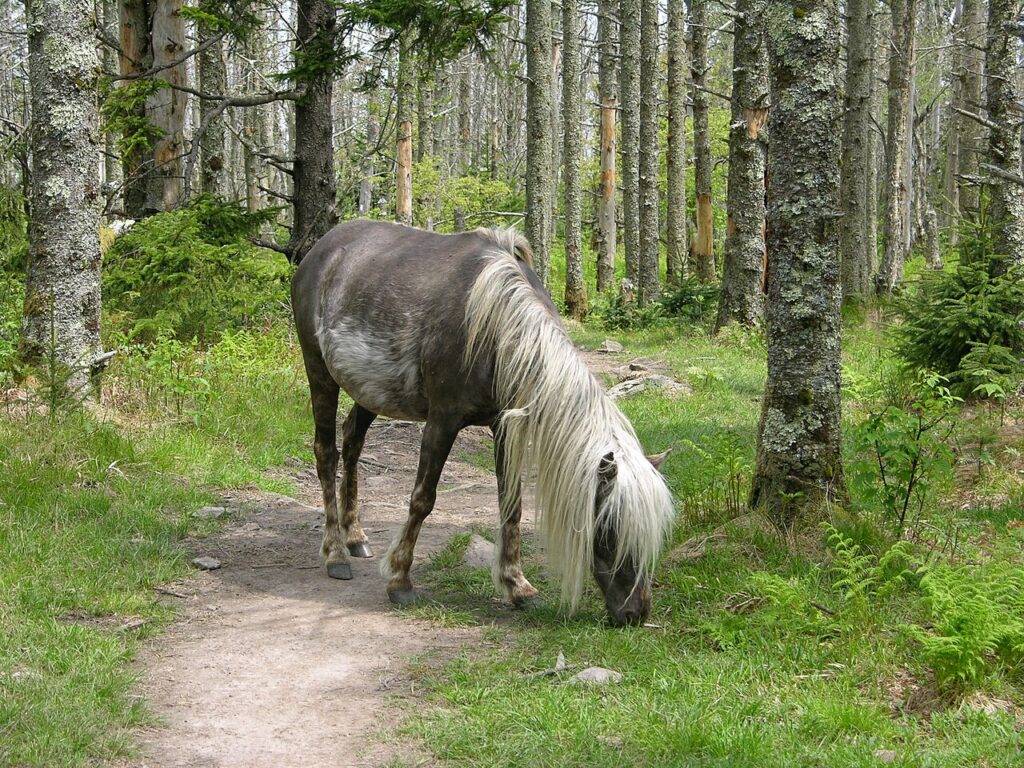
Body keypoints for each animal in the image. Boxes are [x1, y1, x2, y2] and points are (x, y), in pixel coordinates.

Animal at [291, 220, 675, 625]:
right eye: (608, 530)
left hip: (370, 391)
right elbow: (422, 499)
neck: (494, 323)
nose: (635, 612)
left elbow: (512, 506)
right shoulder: (442, 421)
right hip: (320, 373)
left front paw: (518, 587)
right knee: (326, 452)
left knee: (352, 442)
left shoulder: (503, 427)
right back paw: (335, 553)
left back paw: (356, 538)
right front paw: (400, 580)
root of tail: (321, 249)